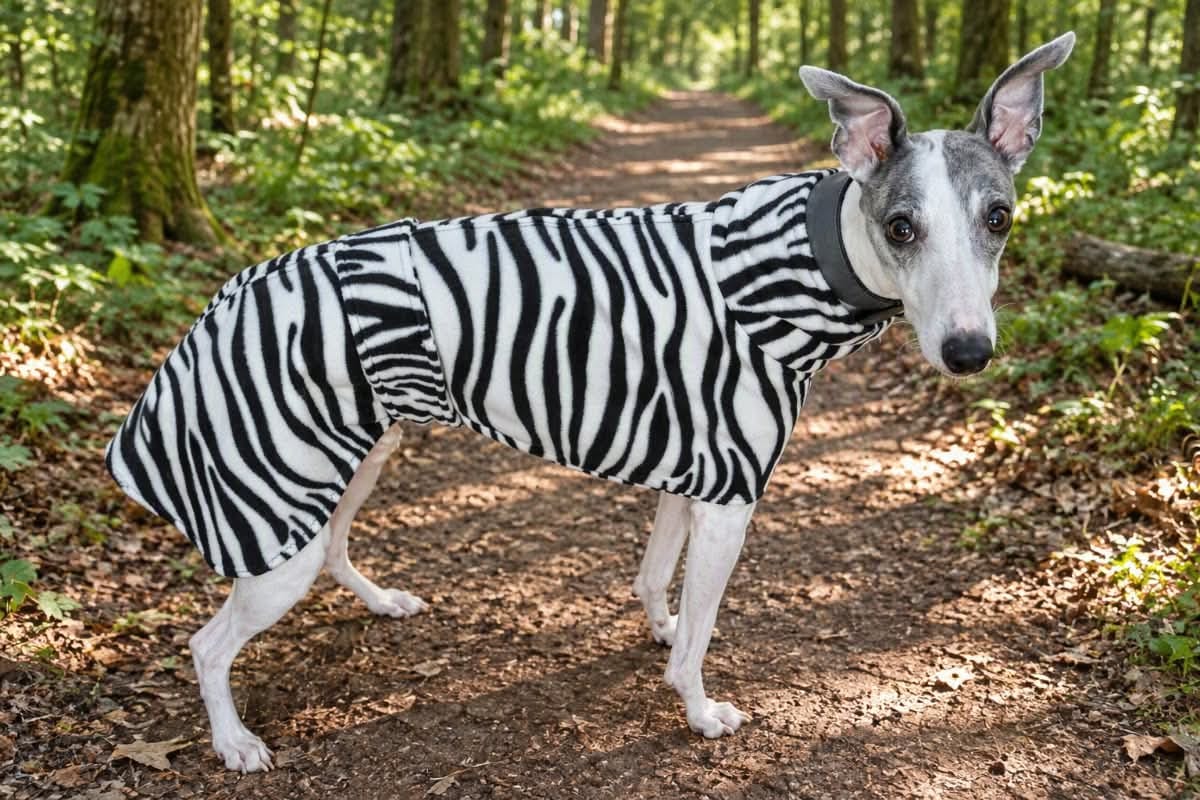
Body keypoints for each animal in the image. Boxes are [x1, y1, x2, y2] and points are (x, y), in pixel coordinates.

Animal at [106, 33, 1074, 772]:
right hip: (283, 507)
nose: (969, 354)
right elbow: (705, 629)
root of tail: (227, 295)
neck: (797, 264)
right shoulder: (730, 500)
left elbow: (655, 582)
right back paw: (233, 741)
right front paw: (699, 709)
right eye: (903, 226)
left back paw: (380, 603)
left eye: (999, 219)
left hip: (354, 460)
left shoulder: (697, 475)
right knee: (207, 645)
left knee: (337, 545)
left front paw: (661, 636)